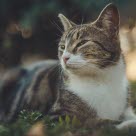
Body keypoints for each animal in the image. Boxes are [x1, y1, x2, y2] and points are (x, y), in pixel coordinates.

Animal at [0, 2, 136, 129]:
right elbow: (95, 121)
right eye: (62, 47)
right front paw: (126, 124)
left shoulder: (126, 108)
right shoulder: (58, 117)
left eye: (82, 43)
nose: (64, 57)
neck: (102, 80)